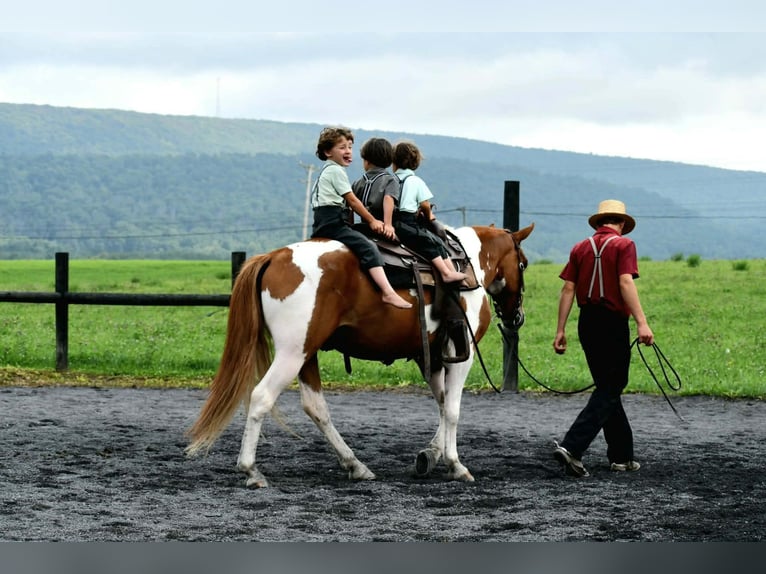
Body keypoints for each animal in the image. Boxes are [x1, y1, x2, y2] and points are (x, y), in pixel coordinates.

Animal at [186, 223, 534, 487]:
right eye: (523, 264)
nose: (517, 317)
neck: (467, 264)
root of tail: (273, 256)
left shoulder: (432, 356)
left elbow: (441, 401)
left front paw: (430, 455)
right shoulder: (461, 353)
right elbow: (452, 409)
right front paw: (454, 464)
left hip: (306, 354)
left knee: (315, 407)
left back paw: (355, 464)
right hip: (292, 353)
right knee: (261, 397)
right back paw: (251, 470)